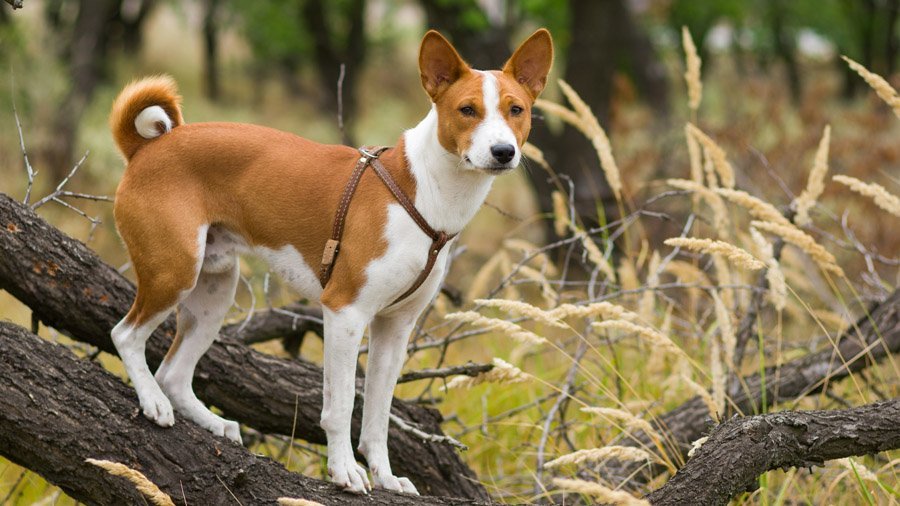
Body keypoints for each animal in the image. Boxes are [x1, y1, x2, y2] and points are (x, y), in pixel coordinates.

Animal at [109, 28, 552, 494]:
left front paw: (386, 476)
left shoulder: (394, 328)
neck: (427, 193)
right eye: (467, 110)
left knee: (174, 373)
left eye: (517, 110)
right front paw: (344, 471)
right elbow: (339, 409)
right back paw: (152, 402)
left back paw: (213, 423)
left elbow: (377, 417)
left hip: (214, 290)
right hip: (173, 272)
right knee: (126, 336)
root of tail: (145, 148)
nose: (502, 151)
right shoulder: (344, 311)